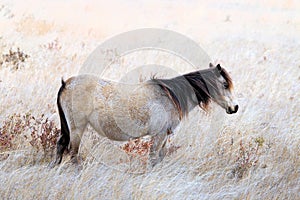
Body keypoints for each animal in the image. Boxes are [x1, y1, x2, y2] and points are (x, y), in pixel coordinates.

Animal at [52, 63, 239, 166]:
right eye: (224, 84)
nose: (235, 107)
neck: (171, 96)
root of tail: (66, 83)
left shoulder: (165, 136)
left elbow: (160, 159)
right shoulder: (159, 135)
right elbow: (153, 159)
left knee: (61, 146)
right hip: (77, 128)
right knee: (73, 153)